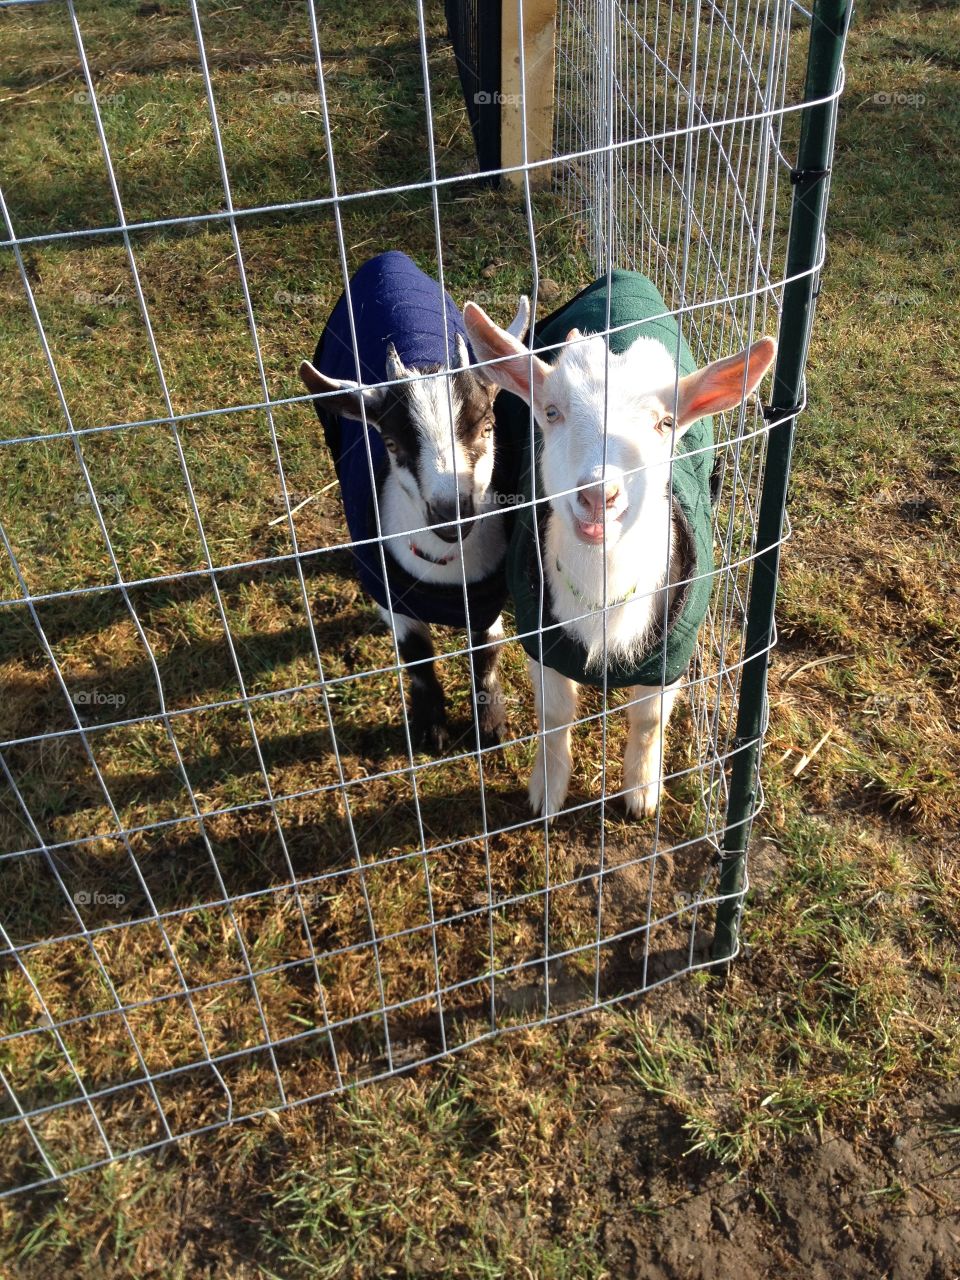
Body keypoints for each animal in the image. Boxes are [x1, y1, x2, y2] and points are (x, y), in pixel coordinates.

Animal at [299, 251, 529, 752]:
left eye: (487, 426)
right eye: (389, 443)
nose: (450, 514)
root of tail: (388, 259)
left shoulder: (488, 596)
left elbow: (487, 651)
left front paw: (491, 726)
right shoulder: (392, 596)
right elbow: (417, 657)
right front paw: (430, 729)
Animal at [465, 271, 776, 818]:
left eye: (665, 423)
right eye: (551, 412)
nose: (598, 495)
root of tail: (622, 276)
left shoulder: (671, 653)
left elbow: (649, 720)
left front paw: (641, 793)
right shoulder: (542, 642)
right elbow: (554, 716)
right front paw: (547, 791)